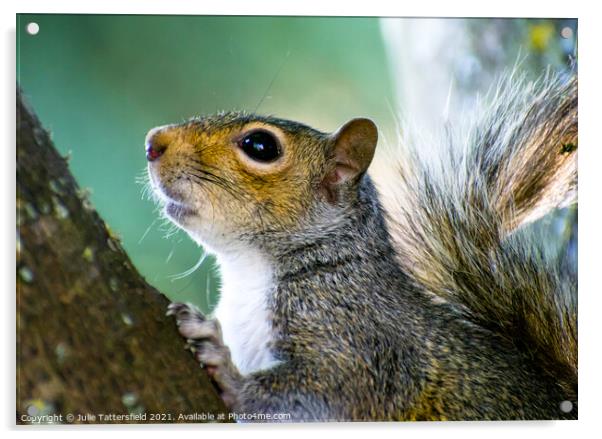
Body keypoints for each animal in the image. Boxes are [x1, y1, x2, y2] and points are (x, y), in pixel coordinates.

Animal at [144, 72, 576, 422]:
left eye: (260, 146)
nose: (152, 142)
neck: (250, 272)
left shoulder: (362, 344)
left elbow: (320, 392)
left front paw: (222, 363)